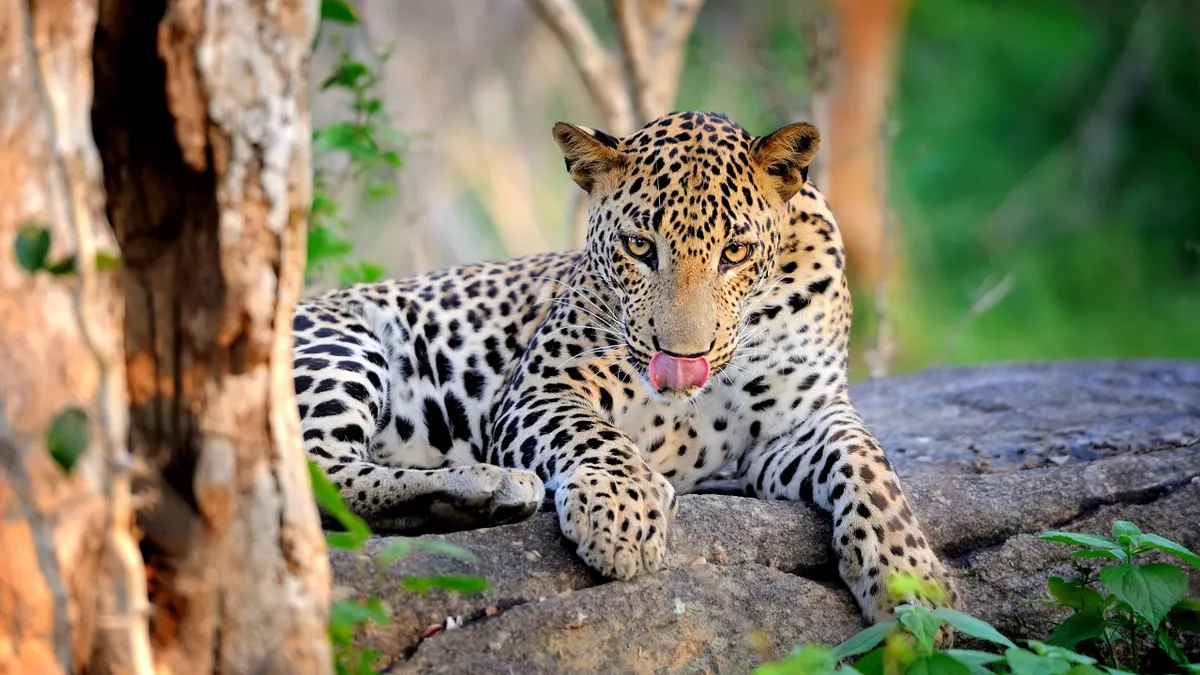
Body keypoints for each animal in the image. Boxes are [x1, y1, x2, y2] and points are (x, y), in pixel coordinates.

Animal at [292, 110, 957, 624]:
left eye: (735, 252)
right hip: (341, 343)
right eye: (640, 247)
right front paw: (623, 512)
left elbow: (871, 466)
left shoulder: (801, 421)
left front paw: (912, 581)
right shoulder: (543, 389)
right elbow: (595, 435)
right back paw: (487, 486)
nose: (683, 360)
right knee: (316, 476)